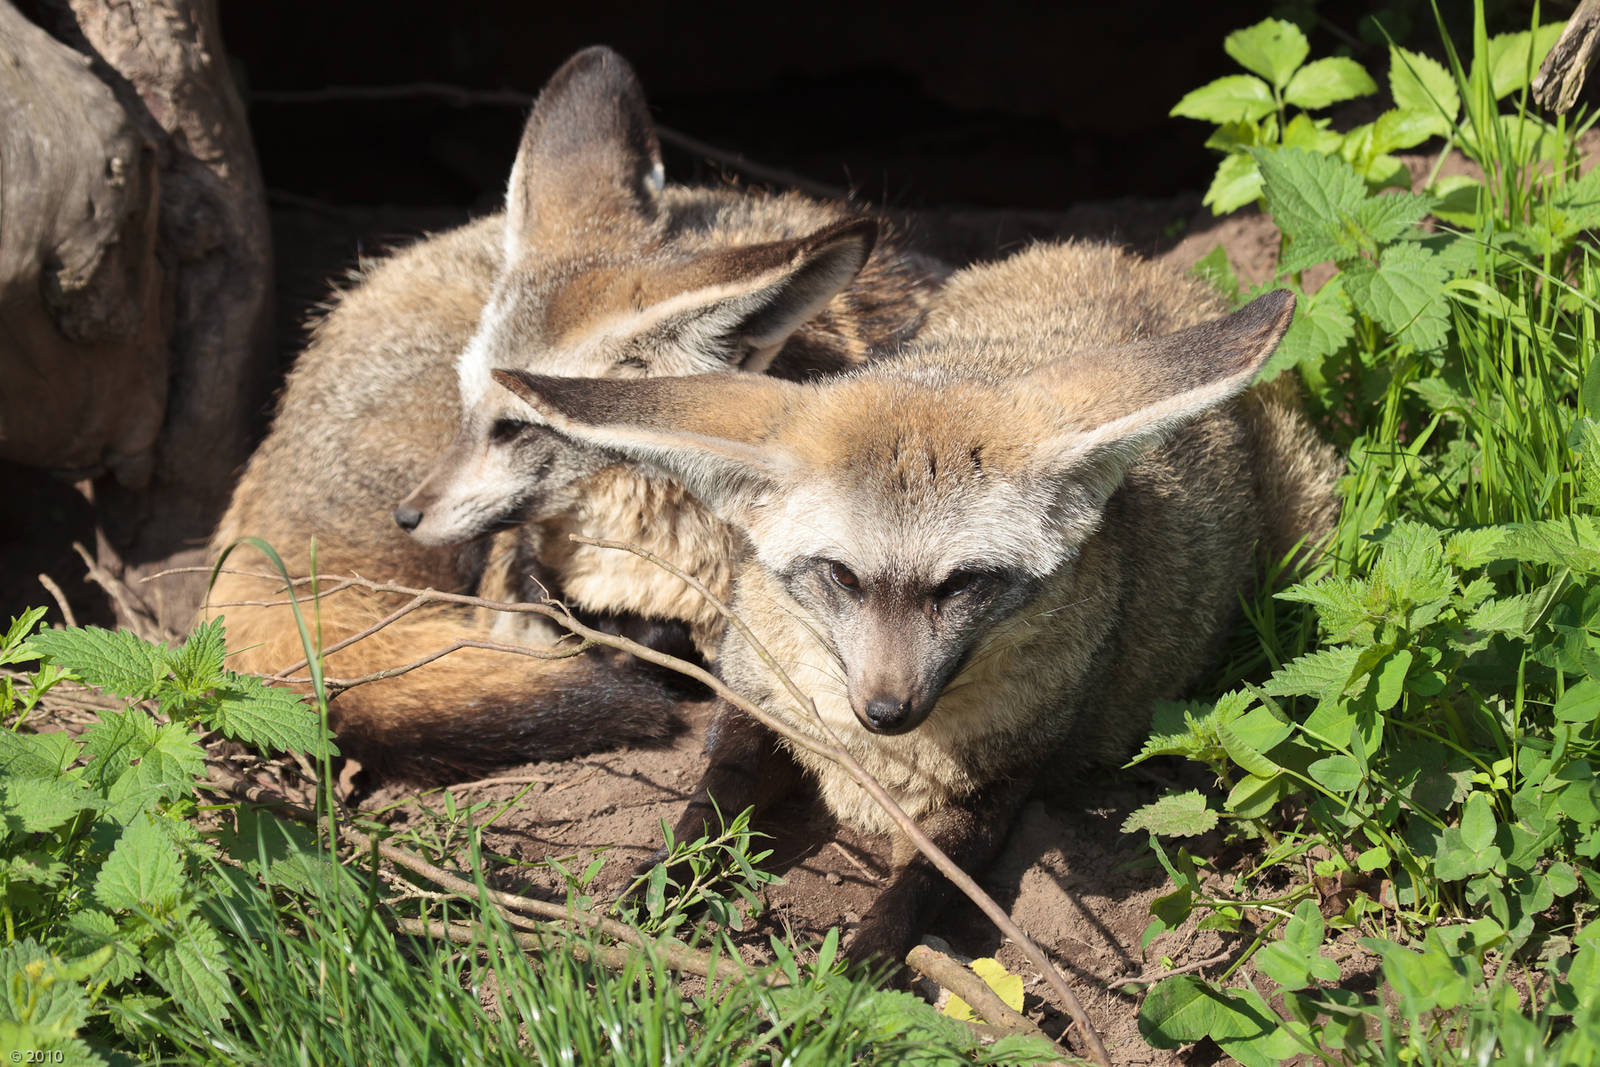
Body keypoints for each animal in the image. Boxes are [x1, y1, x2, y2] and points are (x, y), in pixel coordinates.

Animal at [490, 240, 1342, 962]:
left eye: (961, 584)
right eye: (841, 576)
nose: (885, 710)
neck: (872, 757)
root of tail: (1124, 258)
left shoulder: (996, 787)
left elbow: (920, 890)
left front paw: (857, 974)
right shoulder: (755, 705)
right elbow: (707, 813)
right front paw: (656, 888)